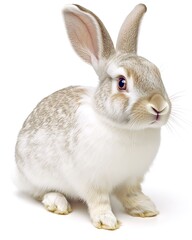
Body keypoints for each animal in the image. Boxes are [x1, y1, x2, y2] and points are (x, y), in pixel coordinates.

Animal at [15, 2, 171, 230]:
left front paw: (145, 208)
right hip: (36, 175)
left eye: (157, 73)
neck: (127, 129)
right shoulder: (91, 181)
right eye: (122, 83)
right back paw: (57, 202)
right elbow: (99, 200)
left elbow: (130, 194)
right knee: (41, 192)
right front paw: (106, 220)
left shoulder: (131, 178)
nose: (159, 106)